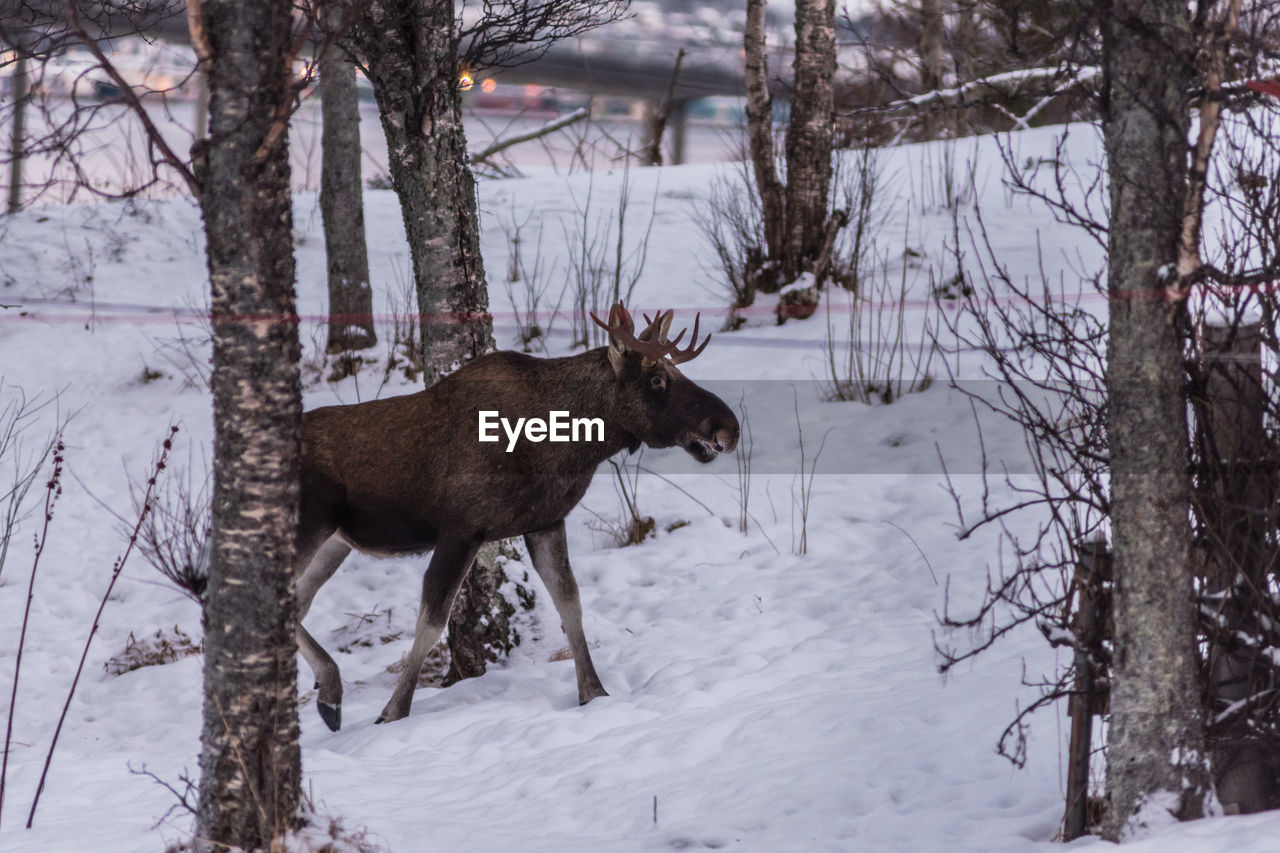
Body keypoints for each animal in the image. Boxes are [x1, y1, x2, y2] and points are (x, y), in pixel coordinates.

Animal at [294, 302, 737, 727]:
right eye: (658, 380)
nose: (728, 427)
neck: (568, 449)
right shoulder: (461, 529)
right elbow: (432, 622)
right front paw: (393, 711)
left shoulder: (546, 523)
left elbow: (570, 604)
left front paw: (594, 691)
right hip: (311, 525)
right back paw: (330, 689)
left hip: (336, 541)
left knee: (299, 602)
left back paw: (327, 691)